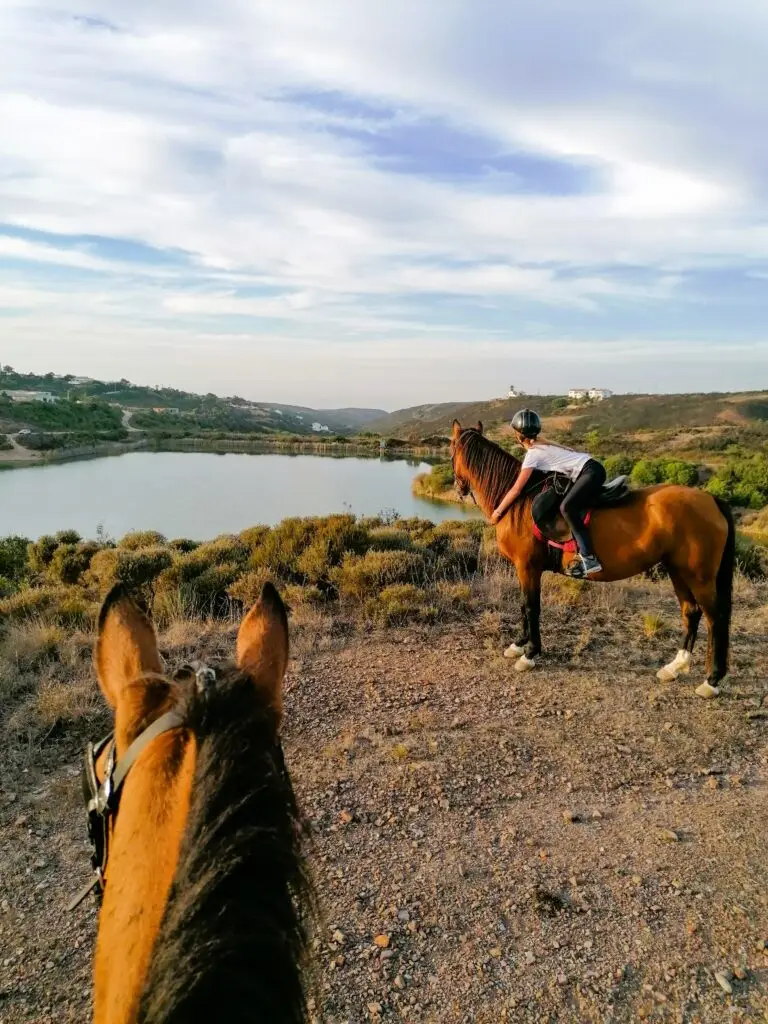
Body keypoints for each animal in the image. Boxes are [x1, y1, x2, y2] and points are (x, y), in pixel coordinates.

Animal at [450, 419, 741, 700]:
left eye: (451, 450)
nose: (458, 488)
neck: (518, 502)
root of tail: (711, 500)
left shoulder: (528, 567)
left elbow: (531, 607)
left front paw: (530, 654)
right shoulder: (525, 569)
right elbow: (524, 606)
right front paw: (519, 645)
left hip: (699, 576)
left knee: (715, 618)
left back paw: (712, 680)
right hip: (677, 570)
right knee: (691, 612)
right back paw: (675, 667)